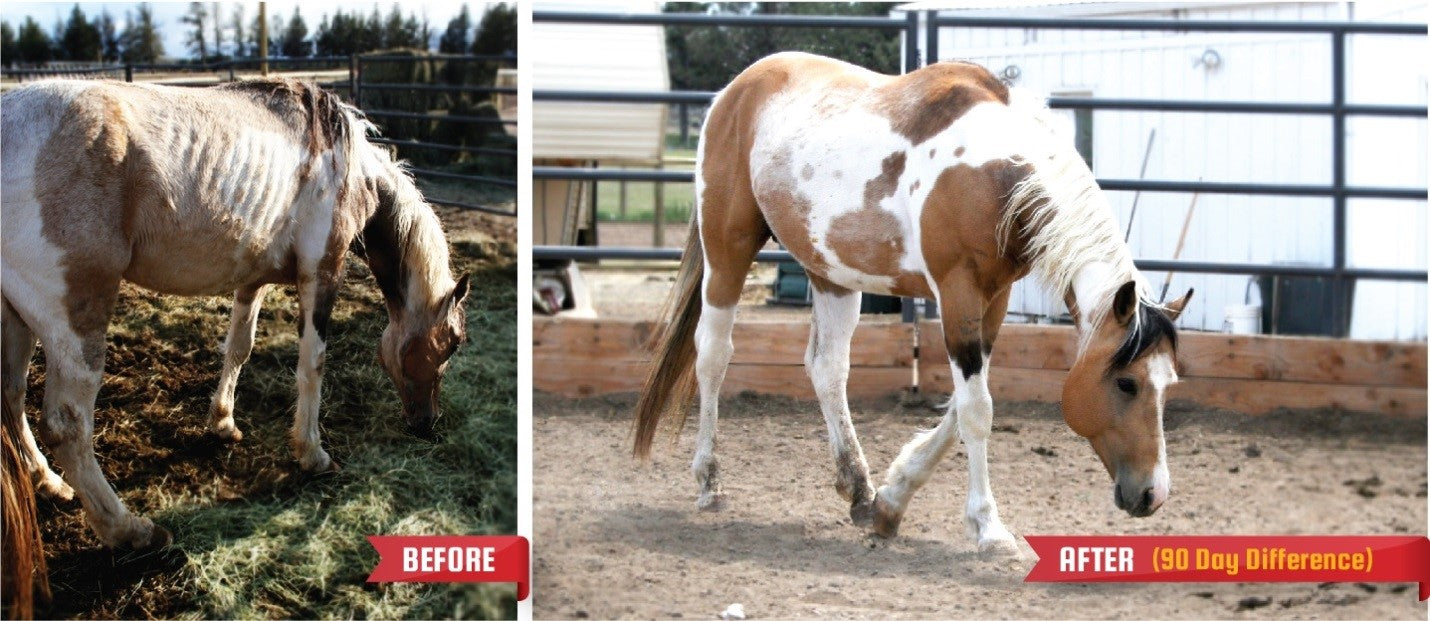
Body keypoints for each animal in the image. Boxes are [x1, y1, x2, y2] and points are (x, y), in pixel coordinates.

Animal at [1, 78, 471, 550]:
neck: (351, 169)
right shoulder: (322, 272)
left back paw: (49, 482)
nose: (427, 423)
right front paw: (312, 453)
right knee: (67, 424)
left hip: (16, 319)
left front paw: (223, 422)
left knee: (12, 396)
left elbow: (239, 348)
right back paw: (128, 528)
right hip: (74, 321)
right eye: (452, 344)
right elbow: (313, 364)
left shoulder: (252, 279)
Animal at [633, 52, 1193, 553]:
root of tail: (732, 93)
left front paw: (890, 499)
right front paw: (988, 527)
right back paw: (709, 481)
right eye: (1126, 383)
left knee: (827, 369)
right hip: (727, 251)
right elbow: (976, 410)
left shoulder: (992, 300)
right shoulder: (956, 292)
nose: (1153, 494)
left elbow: (962, 406)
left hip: (831, 273)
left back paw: (858, 490)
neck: (994, 170)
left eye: (1169, 384)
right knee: (713, 355)